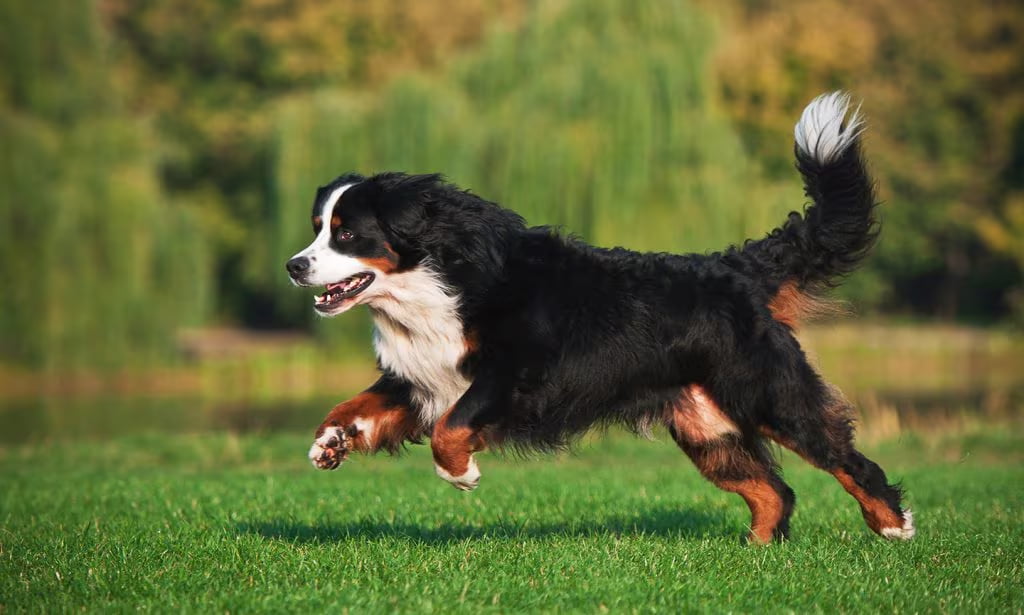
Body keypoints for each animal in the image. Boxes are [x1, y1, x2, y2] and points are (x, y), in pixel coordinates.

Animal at [286, 92, 913, 540]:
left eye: (347, 234)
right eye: (317, 227)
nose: (294, 266)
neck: (433, 284)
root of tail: (736, 268)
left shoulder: (516, 375)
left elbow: (452, 428)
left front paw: (461, 474)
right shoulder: (421, 375)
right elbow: (357, 405)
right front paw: (330, 442)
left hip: (769, 396)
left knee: (845, 461)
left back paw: (894, 526)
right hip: (707, 429)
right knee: (774, 493)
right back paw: (756, 554)